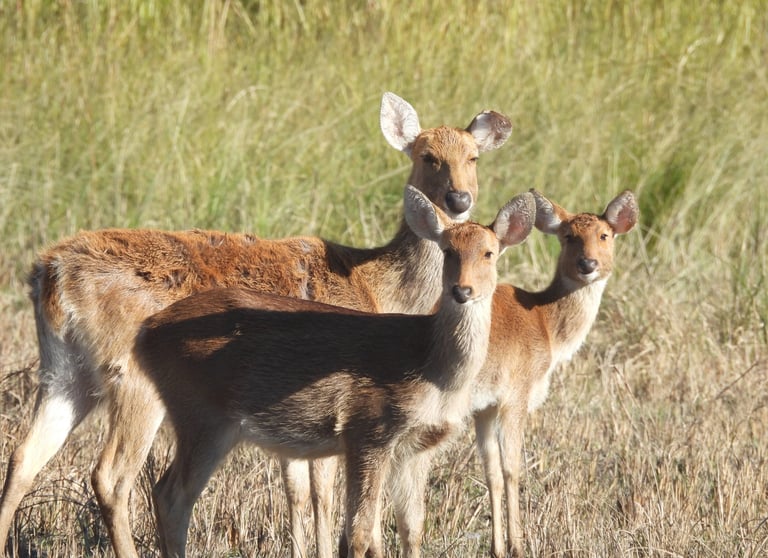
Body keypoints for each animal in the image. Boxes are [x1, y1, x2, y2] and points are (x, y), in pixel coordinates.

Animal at [132, 185, 537, 558]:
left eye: (489, 252)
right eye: (448, 251)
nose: (461, 290)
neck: (431, 368)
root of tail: (146, 332)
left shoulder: (416, 446)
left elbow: (412, 528)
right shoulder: (367, 430)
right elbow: (358, 534)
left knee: (164, 493)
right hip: (202, 415)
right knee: (171, 497)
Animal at [375, 189, 639, 558]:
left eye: (605, 234)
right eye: (568, 236)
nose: (588, 265)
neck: (545, 324)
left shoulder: (484, 407)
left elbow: (492, 472)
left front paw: (498, 547)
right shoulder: (515, 396)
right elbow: (512, 468)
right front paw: (518, 544)